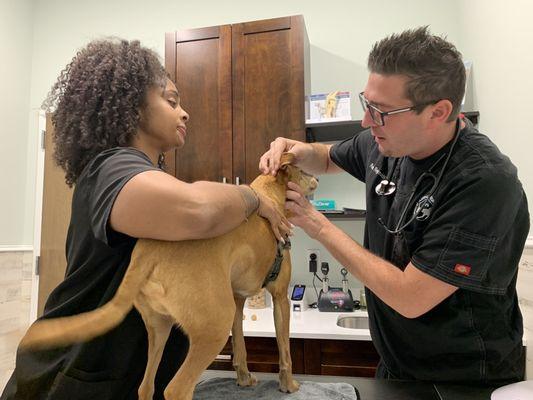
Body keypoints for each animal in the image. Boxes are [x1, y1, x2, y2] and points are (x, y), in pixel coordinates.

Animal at [20, 152, 318, 398]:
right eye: (303, 171)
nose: (317, 177)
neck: (268, 194)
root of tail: (148, 252)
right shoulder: (279, 298)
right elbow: (284, 348)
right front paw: (288, 385)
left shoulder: (237, 300)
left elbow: (241, 346)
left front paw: (244, 379)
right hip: (213, 327)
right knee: (175, 389)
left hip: (159, 326)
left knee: (146, 386)